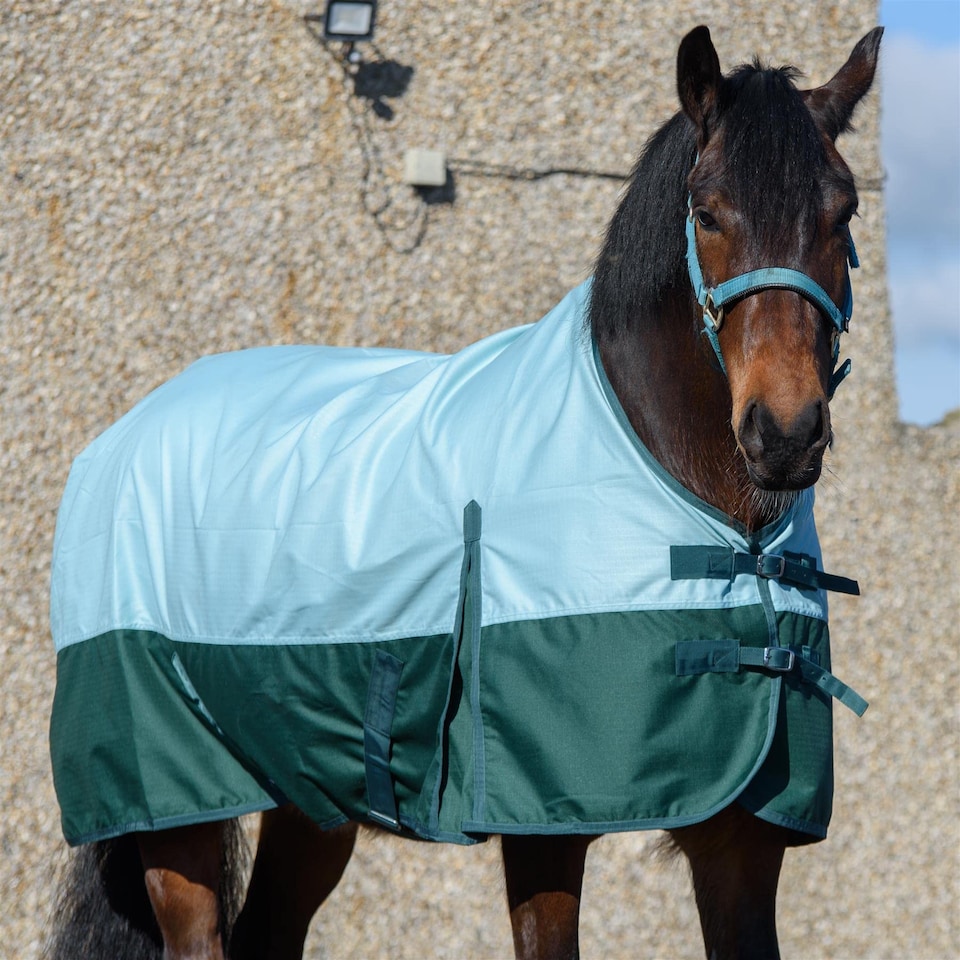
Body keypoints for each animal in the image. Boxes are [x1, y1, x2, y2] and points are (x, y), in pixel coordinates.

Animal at [46, 24, 881, 960]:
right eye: (707, 212)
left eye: (844, 213)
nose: (785, 434)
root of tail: (124, 433)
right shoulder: (541, 826)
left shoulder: (743, 845)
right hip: (175, 806)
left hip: (313, 798)